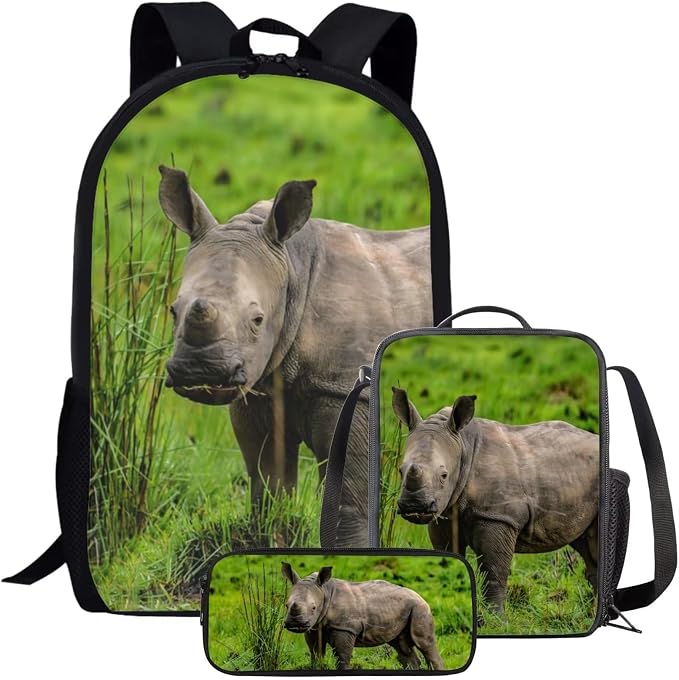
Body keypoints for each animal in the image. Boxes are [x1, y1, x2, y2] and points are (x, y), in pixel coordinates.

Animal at [158, 166, 431, 545]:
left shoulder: (343, 388)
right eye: (173, 311)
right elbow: (268, 488)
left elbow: (348, 501)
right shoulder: (260, 389)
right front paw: (269, 542)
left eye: (258, 320)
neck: (292, 268)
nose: (199, 371)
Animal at [281, 562, 444, 670]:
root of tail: (421, 597)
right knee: (401, 645)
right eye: (286, 605)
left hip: (420, 609)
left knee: (424, 643)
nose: (295, 624)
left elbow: (342, 657)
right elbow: (316, 654)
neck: (324, 592)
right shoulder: (315, 627)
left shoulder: (344, 628)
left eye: (314, 607)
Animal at [392, 387, 599, 615]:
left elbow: (493, 571)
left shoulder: (497, 516)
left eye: (444, 475)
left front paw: (494, 618)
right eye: (400, 471)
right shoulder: (445, 515)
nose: (414, 506)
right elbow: (448, 552)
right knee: (586, 545)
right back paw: (593, 613)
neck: (462, 445)